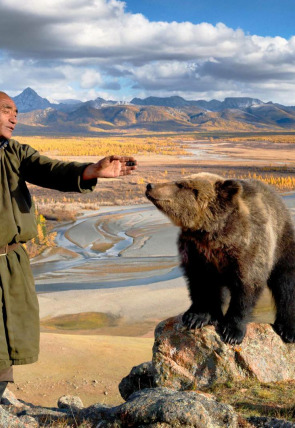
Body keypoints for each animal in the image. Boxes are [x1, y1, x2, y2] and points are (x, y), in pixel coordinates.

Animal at [147, 172, 295, 342]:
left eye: (180, 184)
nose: (150, 185)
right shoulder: (196, 251)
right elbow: (200, 282)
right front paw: (196, 316)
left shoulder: (248, 248)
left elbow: (246, 288)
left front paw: (232, 331)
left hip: (282, 243)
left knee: (285, 284)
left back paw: (287, 329)